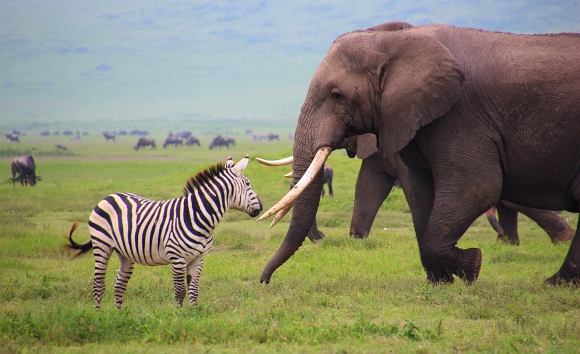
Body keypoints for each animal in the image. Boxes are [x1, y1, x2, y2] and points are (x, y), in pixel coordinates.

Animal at [64, 156, 262, 308]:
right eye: (248, 183)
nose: (260, 207)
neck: (196, 215)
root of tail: (109, 196)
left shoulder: (198, 258)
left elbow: (194, 291)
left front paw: (194, 314)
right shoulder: (177, 257)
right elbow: (180, 291)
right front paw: (179, 317)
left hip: (125, 253)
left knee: (119, 284)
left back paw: (118, 316)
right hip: (102, 245)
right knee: (98, 283)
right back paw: (99, 315)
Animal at [258, 22, 580, 286]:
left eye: (337, 95)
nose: (264, 280)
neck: (396, 41)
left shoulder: (460, 116)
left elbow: (478, 187)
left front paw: (472, 266)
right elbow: (412, 192)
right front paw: (440, 282)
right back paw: (556, 280)